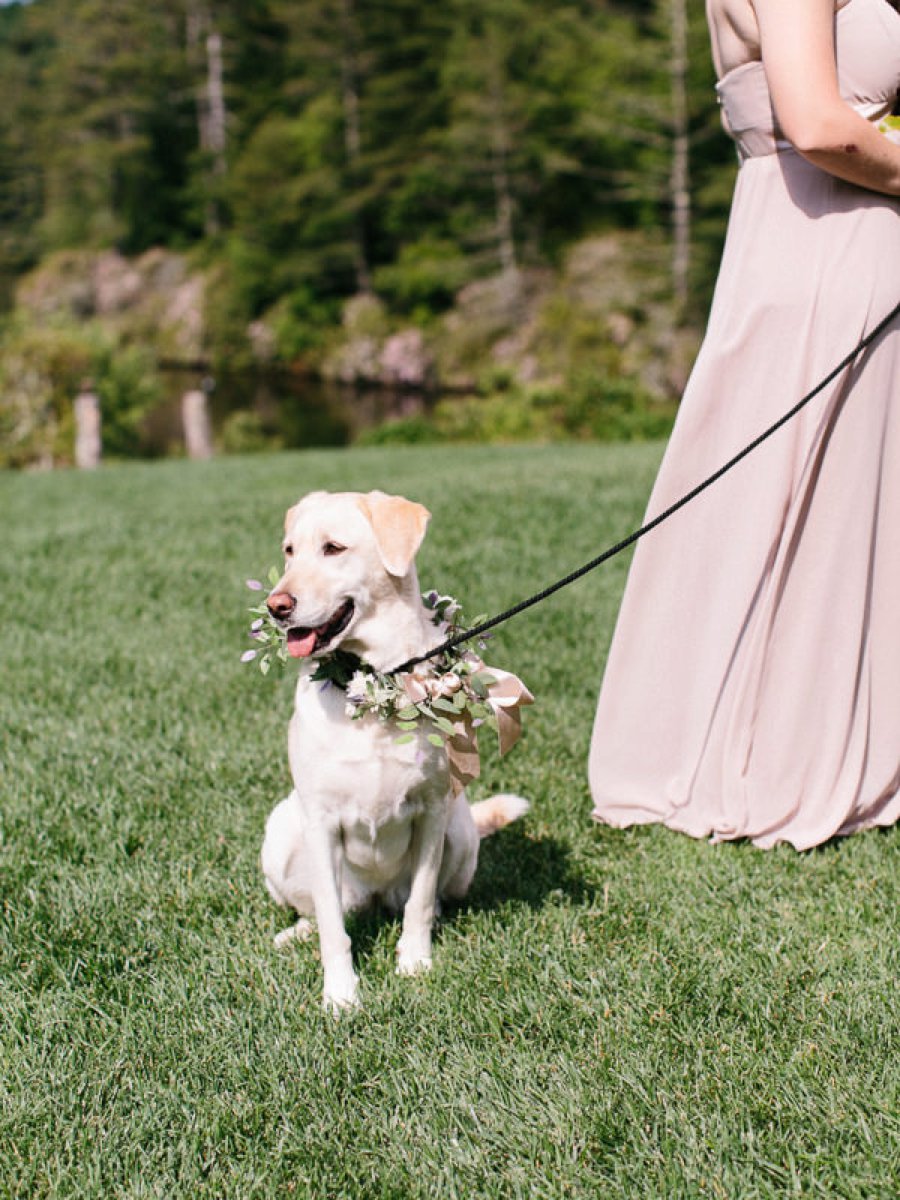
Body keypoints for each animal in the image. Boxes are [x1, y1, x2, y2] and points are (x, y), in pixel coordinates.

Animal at [259, 489, 528, 1012]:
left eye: (333, 548)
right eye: (289, 551)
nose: (276, 605)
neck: (374, 683)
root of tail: (375, 897)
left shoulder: (433, 809)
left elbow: (420, 900)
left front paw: (415, 963)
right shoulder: (320, 820)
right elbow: (333, 928)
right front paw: (340, 995)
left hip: (461, 830)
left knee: (425, 898)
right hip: (280, 834)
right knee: (321, 910)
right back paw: (295, 933)